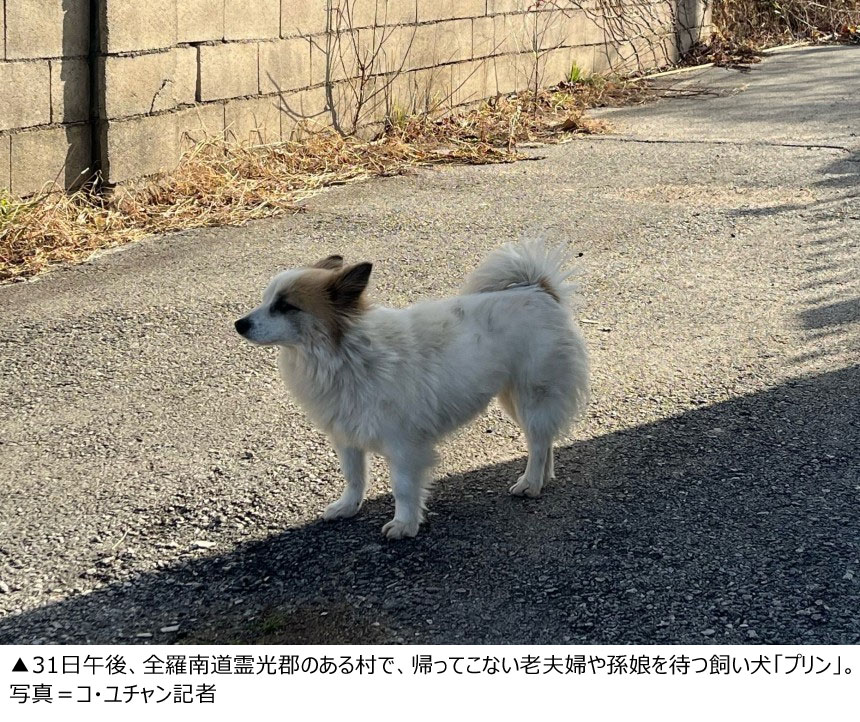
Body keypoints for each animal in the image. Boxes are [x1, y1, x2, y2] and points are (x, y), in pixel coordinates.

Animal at [235, 239, 589, 539]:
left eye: (285, 306)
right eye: (267, 301)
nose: (239, 324)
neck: (345, 353)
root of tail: (538, 289)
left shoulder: (404, 446)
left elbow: (403, 488)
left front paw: (405, 524)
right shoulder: (347, 437)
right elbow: (353, 477)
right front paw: (348, 507)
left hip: (533, 396)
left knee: (539, 442)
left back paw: (530, 482)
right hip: (515, 399)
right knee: (542, 440)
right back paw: (542, 478)